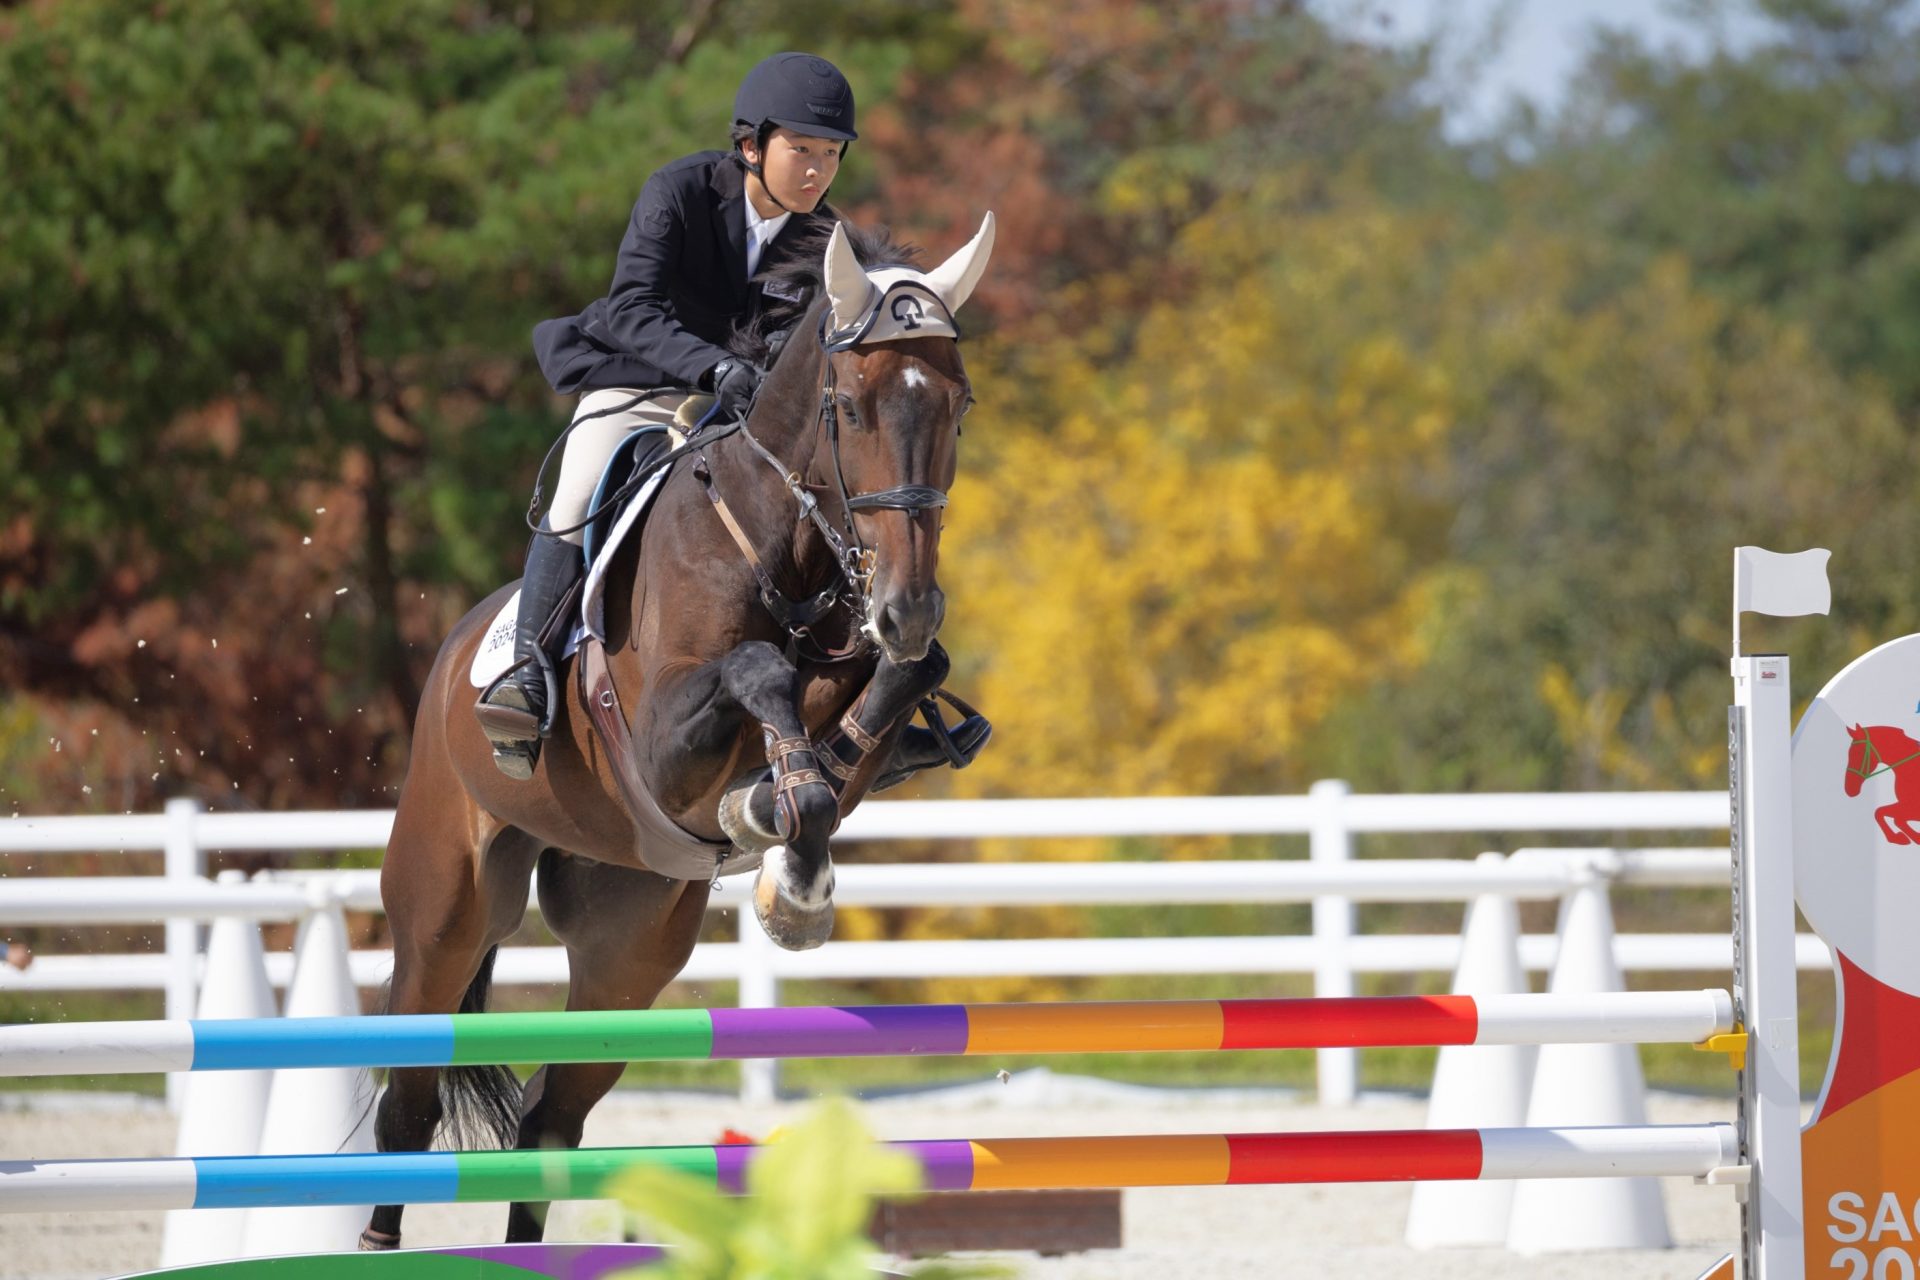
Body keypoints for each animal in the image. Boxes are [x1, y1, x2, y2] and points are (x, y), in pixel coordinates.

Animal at [361, 213, 996, 1249]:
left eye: (959, 403)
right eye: (850, 409)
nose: (906, 606)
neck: (792, 545)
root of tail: (452, 654)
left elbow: (894, 688)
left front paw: (785, 837)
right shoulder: (659, 744)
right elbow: (761, 672)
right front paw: (785, 837)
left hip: (628, 947)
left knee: (551, 1119)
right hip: (443, 911)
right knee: (410, 1102)